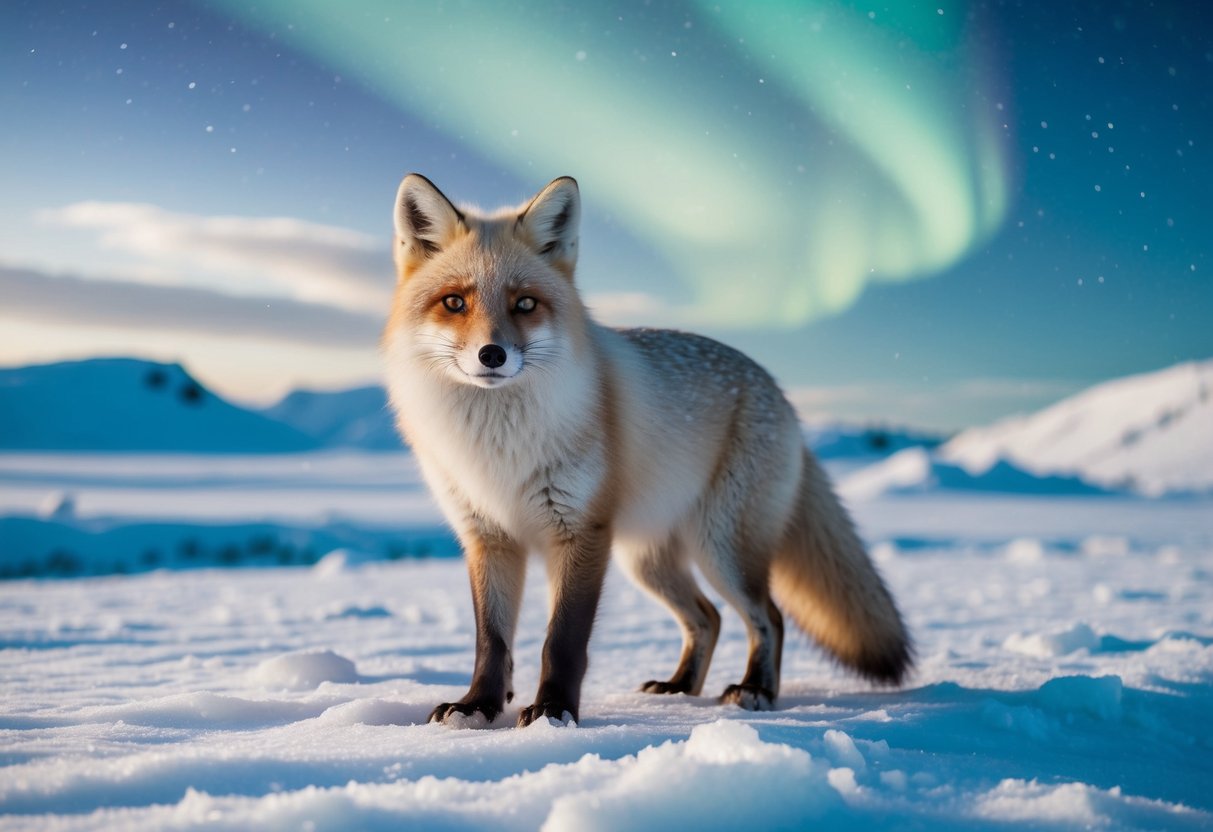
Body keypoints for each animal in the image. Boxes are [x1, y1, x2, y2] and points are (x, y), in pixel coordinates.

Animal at [381, 173, 912, 728]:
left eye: (525, 304)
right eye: (454, 303)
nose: (492, 355)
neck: (498, 447)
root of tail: (780, 393)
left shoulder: (581, 532)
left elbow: (562, 640)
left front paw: (553, 712)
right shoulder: (488, 536)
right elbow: (492, 640)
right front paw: (478, 707)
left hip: (722, 549)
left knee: (769, 617)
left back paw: (755, 689)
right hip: (648, 561)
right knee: (708, 618)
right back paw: (680, 687)